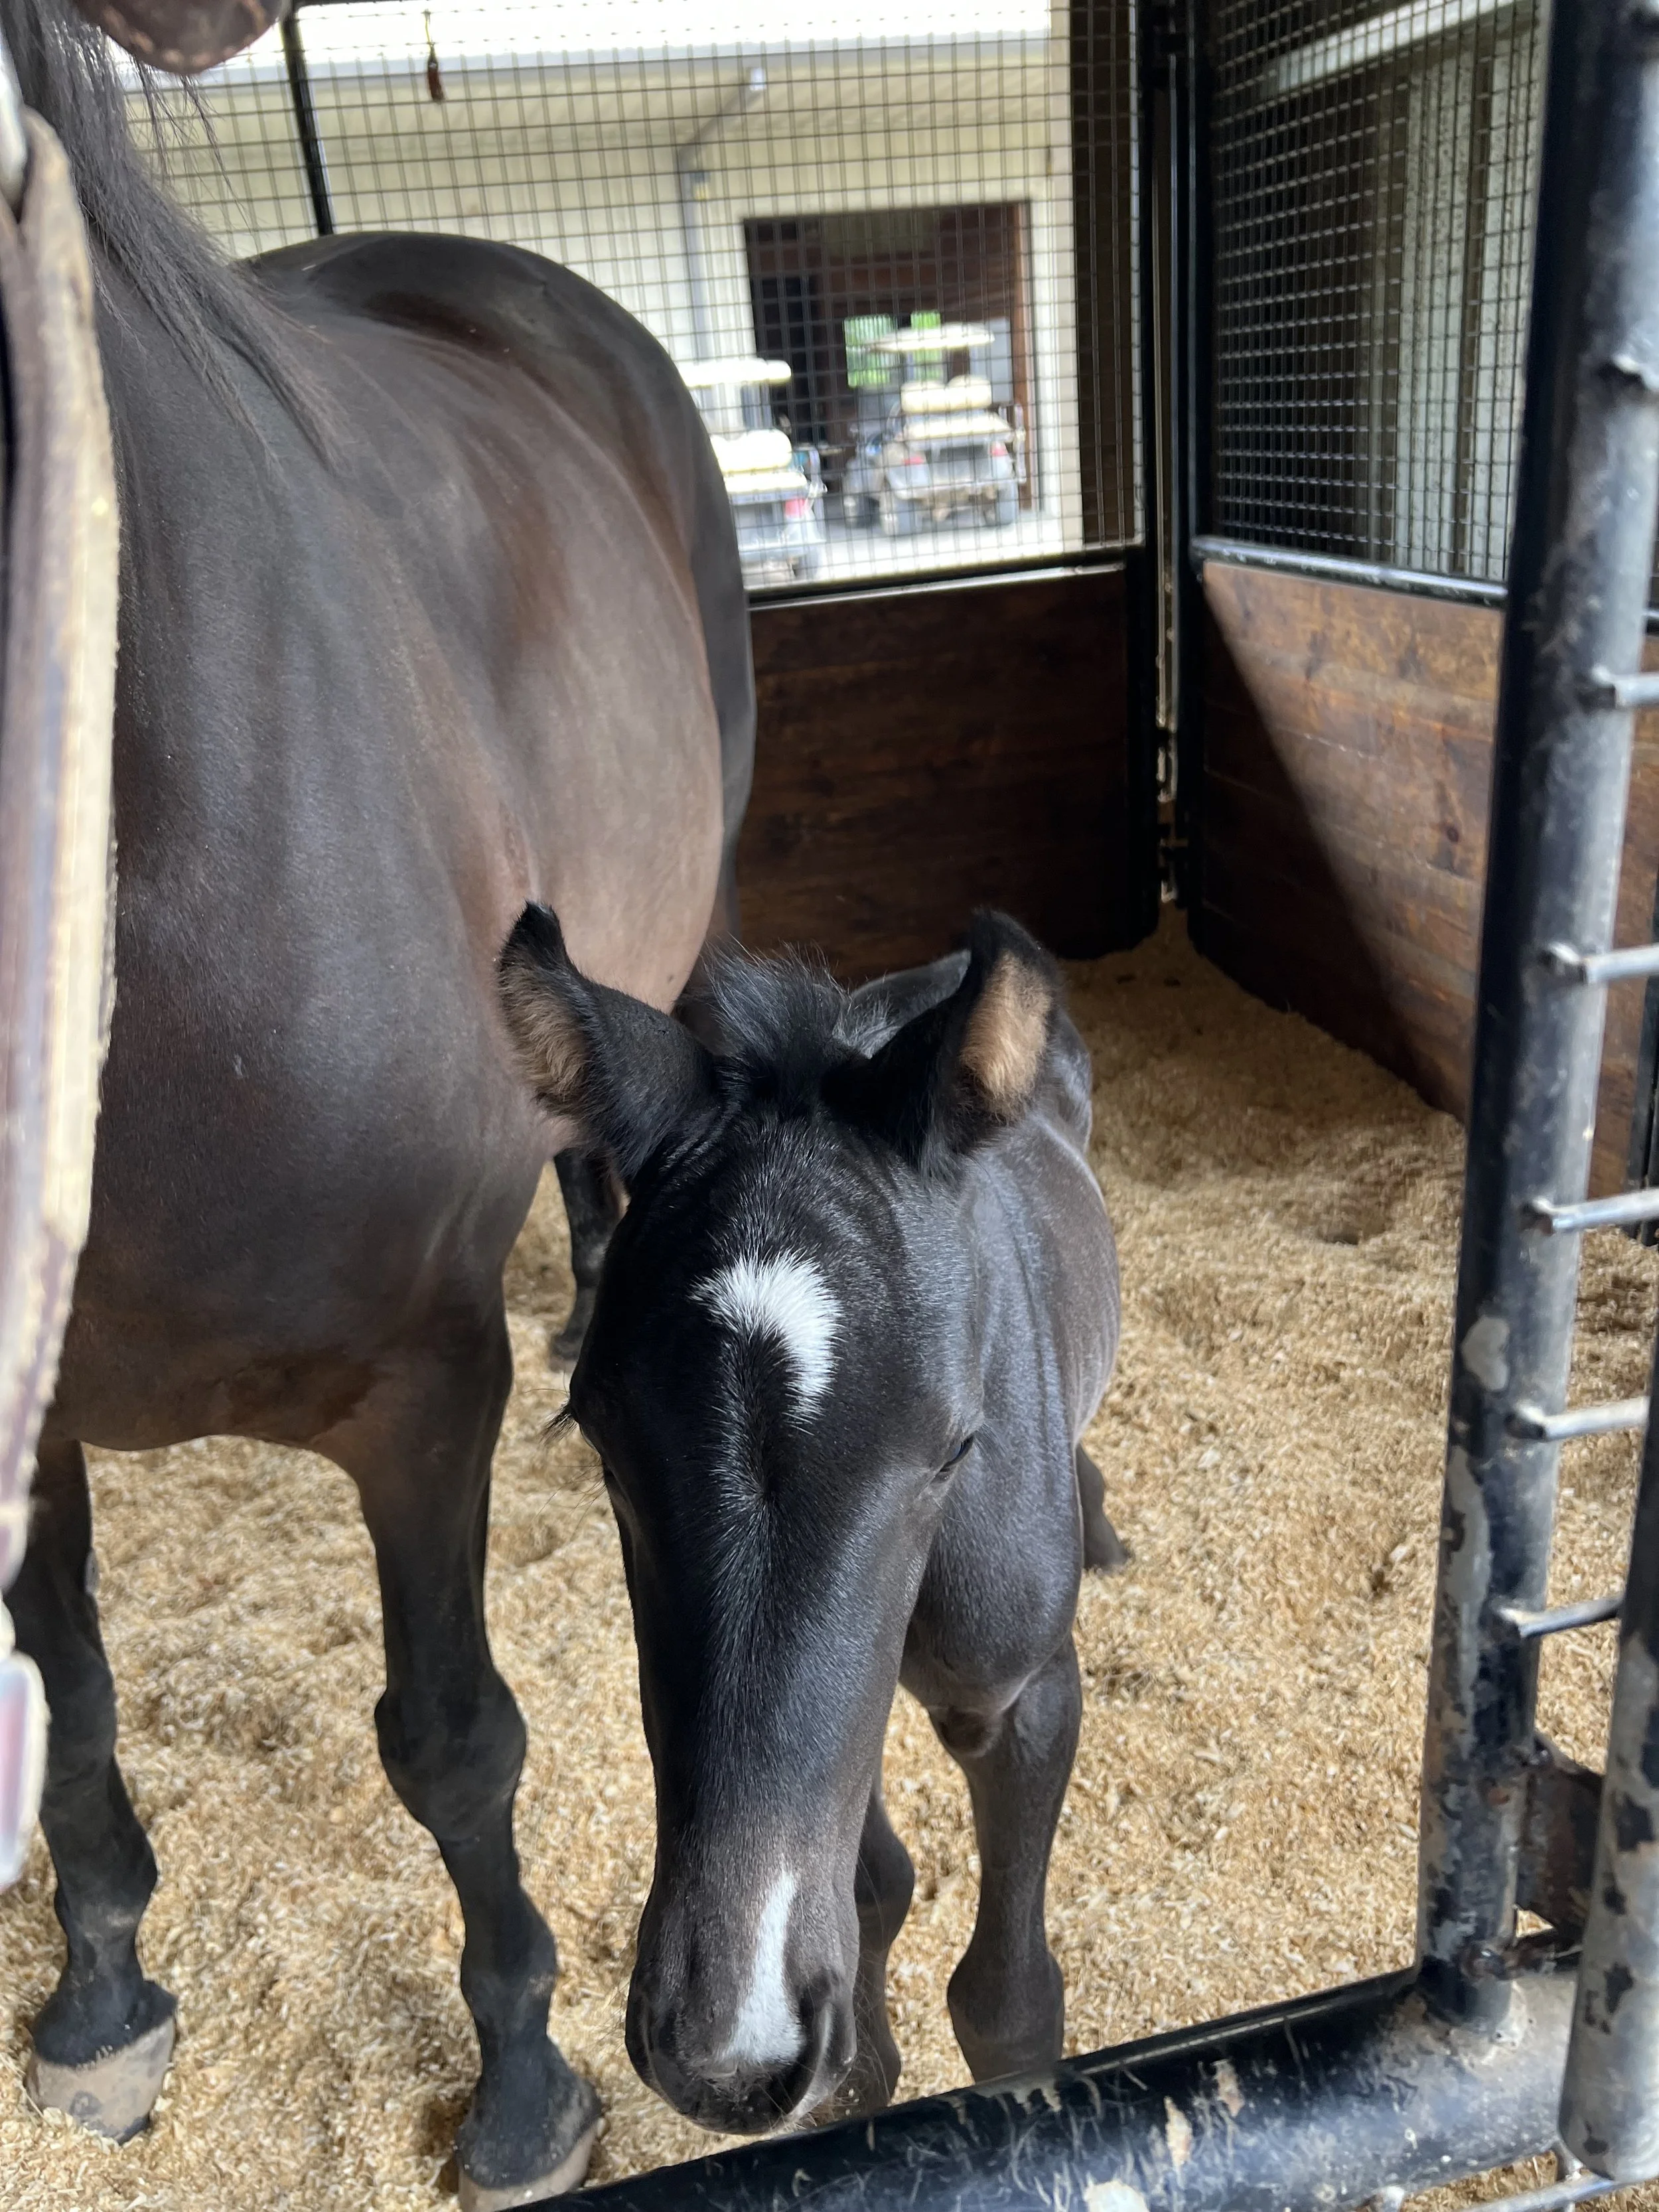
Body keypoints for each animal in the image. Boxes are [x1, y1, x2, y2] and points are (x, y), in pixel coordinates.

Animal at [496, 902, 1126, 2133]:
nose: (729, 2052)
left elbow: (1006, 1999)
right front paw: (859, 2082)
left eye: (955, 1444)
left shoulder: (1026, 1692)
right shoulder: (847, 1715)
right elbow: (873, 1881)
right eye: (600, 1437)